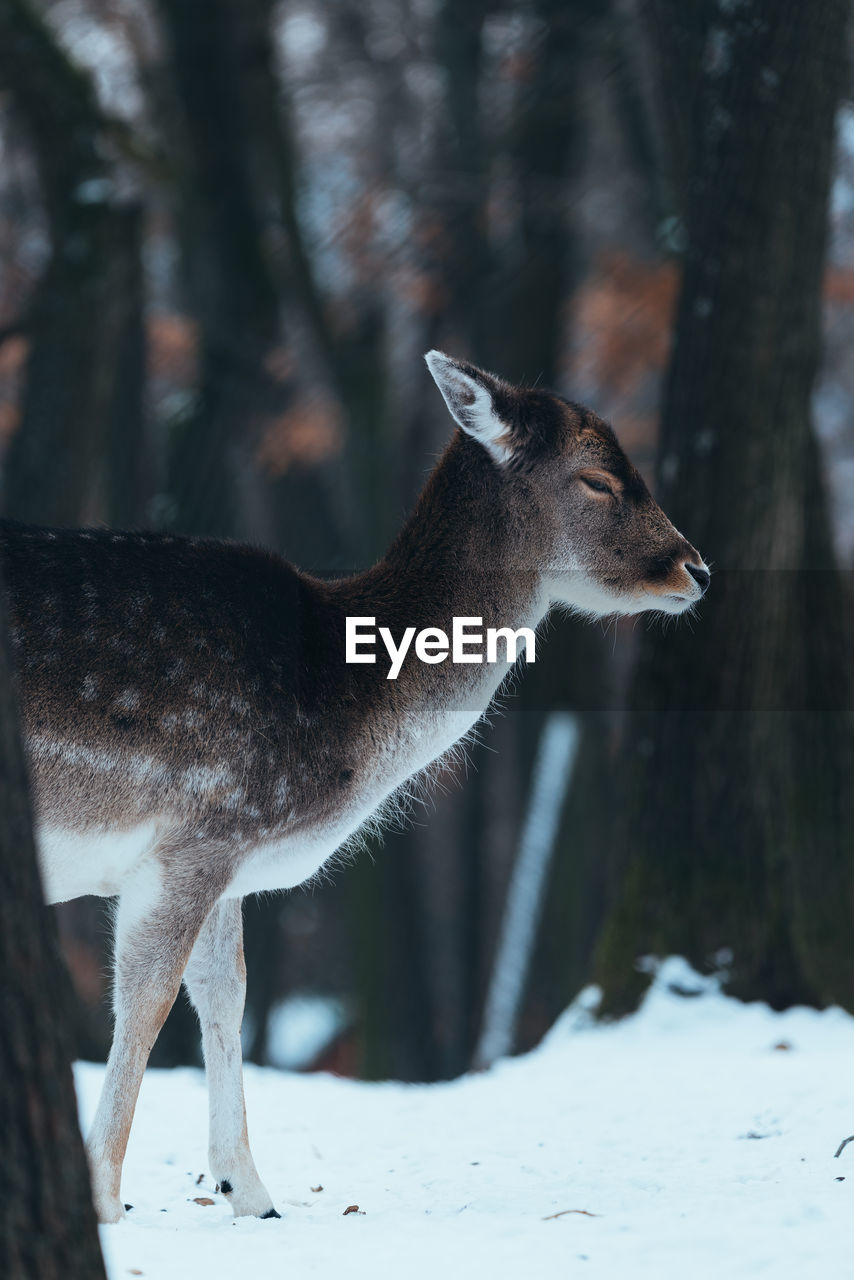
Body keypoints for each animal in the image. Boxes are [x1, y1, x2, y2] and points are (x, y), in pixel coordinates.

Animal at [3, 353, 711, 1218]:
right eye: (599, 480)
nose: (696, 569)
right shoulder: (196, 834)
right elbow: (146, 1003)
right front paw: (104, 1198)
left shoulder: (227, 853)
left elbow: (226, 995)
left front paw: (252, 1192)